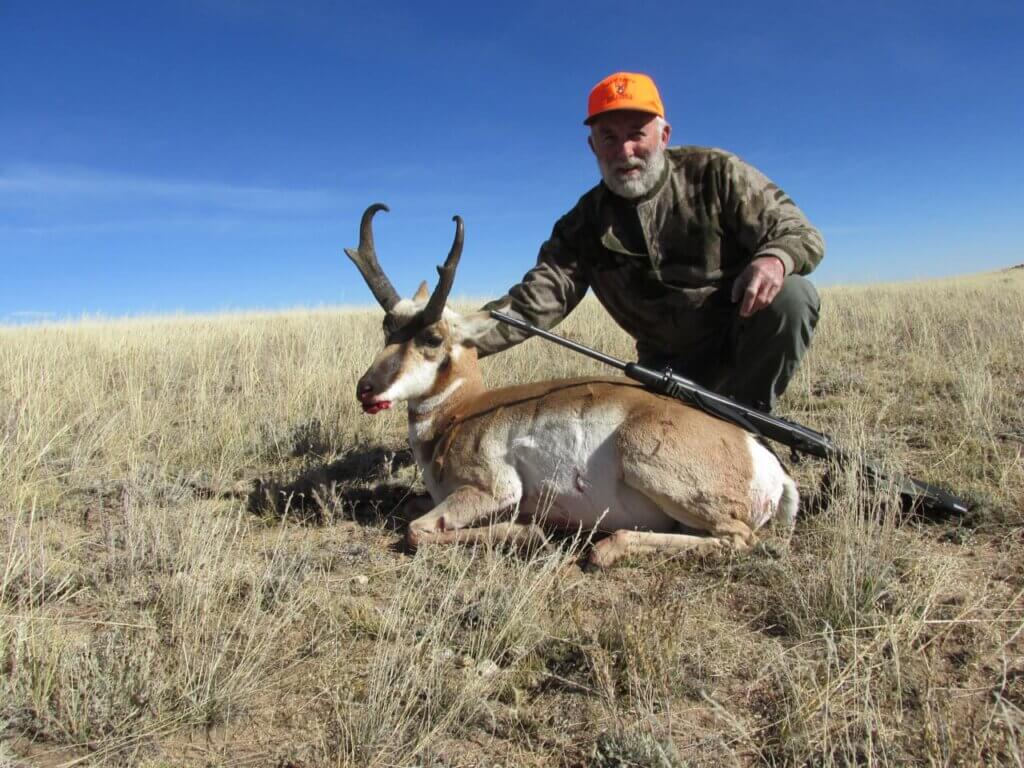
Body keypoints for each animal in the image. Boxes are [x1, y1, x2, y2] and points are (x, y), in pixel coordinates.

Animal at [347, 203, 798, 568]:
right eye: (387, 327)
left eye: (433, 337)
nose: (366, 389)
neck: (460, 413)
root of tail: (762, 456)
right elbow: (412, 507)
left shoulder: (492, 490)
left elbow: (415, 530)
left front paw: (530, 534)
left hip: (648, 465)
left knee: (738, 537)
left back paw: (606, 548)